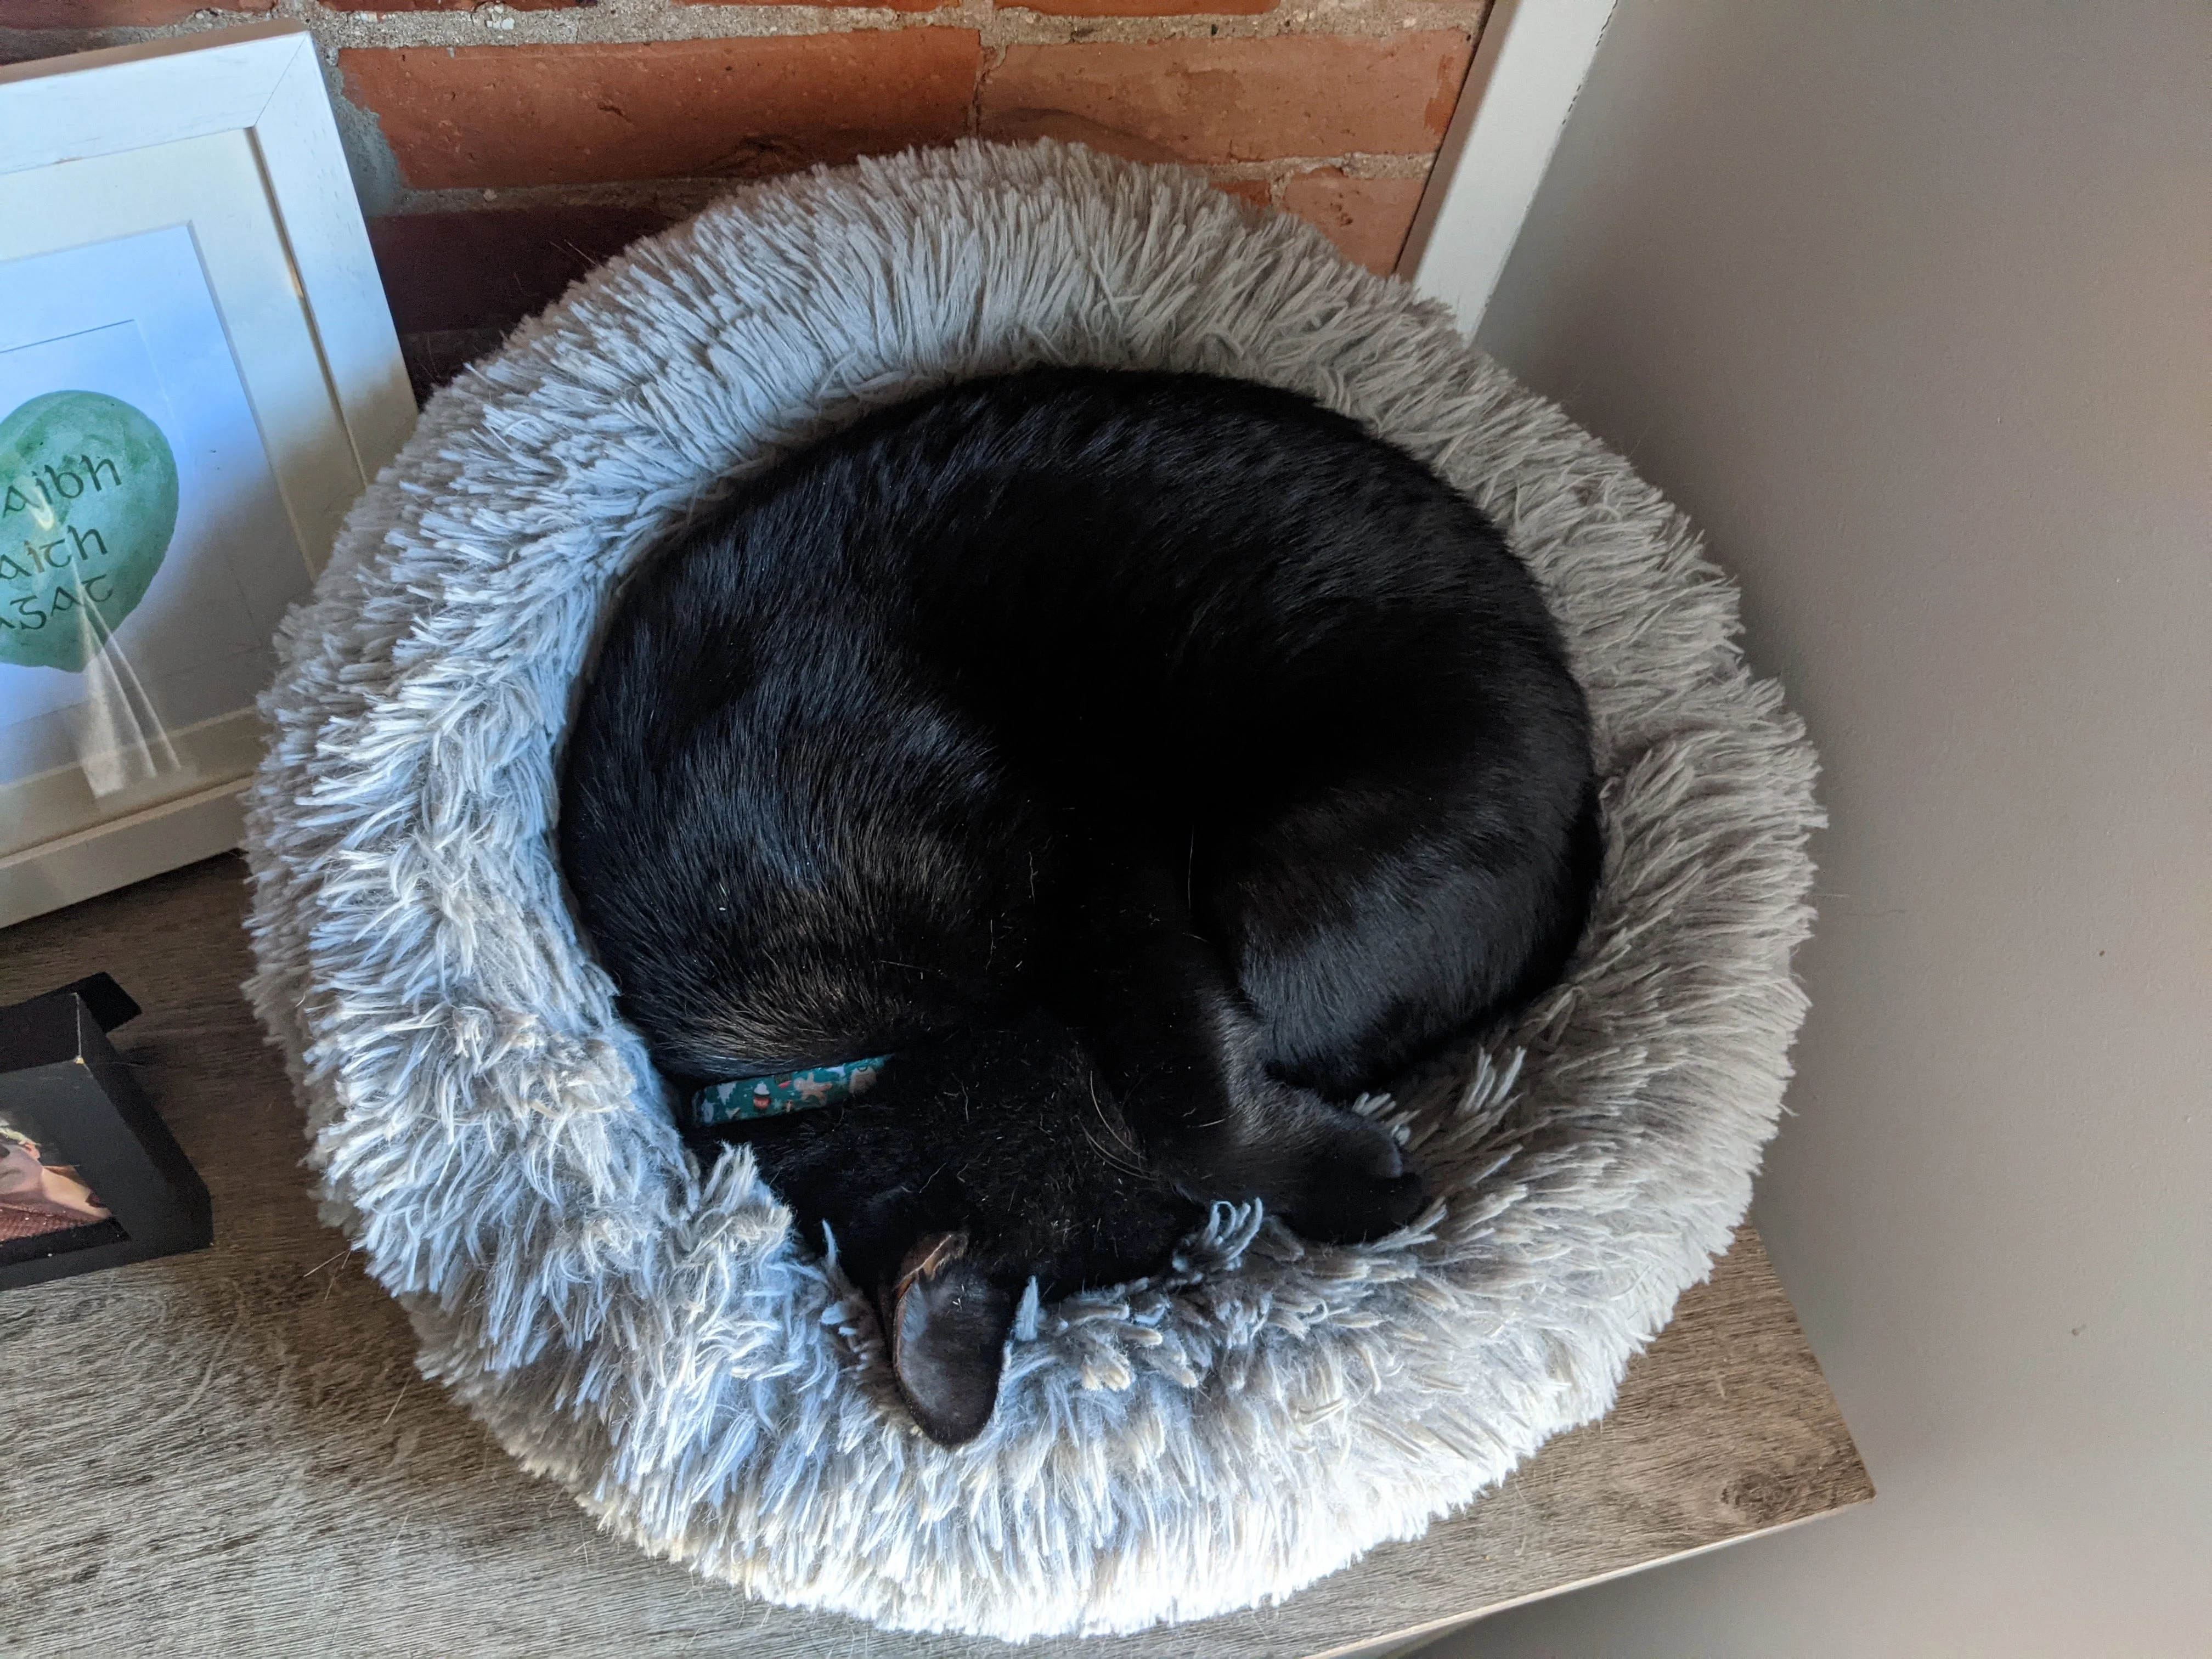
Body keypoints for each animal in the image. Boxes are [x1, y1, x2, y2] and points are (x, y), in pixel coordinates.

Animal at [550, 369, 1593, 1451]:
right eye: (1164, 1239)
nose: (1198, 1253)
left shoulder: (1099, 859)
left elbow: (1193, 1110)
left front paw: (1364, 1196)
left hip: (1271, 891)